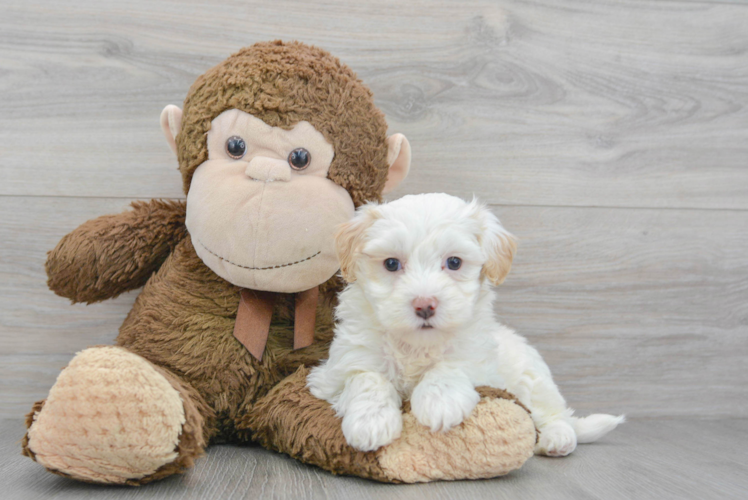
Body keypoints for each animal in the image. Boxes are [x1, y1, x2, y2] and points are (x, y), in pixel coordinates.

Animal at [306, 193, 624, 456]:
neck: (416, 346)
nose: (424, 305)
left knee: (554, 414)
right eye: (392, 264)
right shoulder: (336, 370)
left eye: (455, 262)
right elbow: (366, 378)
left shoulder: (480, 361)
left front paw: (440, 402)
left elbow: (451, 365)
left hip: (534, 379)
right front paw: (370, 421)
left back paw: (556, 438)